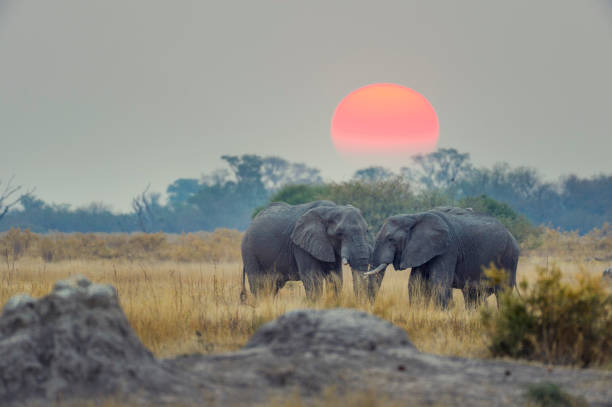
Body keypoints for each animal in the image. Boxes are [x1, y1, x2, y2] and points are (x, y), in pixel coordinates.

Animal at [239, 202, 372, 302]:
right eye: (339, 234)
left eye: (367, 230)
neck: (331, 209)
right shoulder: (300, 246)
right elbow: (313, 279)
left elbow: (335, 278)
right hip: (249, 251)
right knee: (259, 286)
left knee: (272, 287)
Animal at [366, 207, 520, 310]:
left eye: (391, 239)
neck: (414, 216)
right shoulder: (421, 250)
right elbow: (416, 284)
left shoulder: (447, 249)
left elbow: (439, 283)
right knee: (473, 296)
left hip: (508, 259)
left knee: (502, 293)